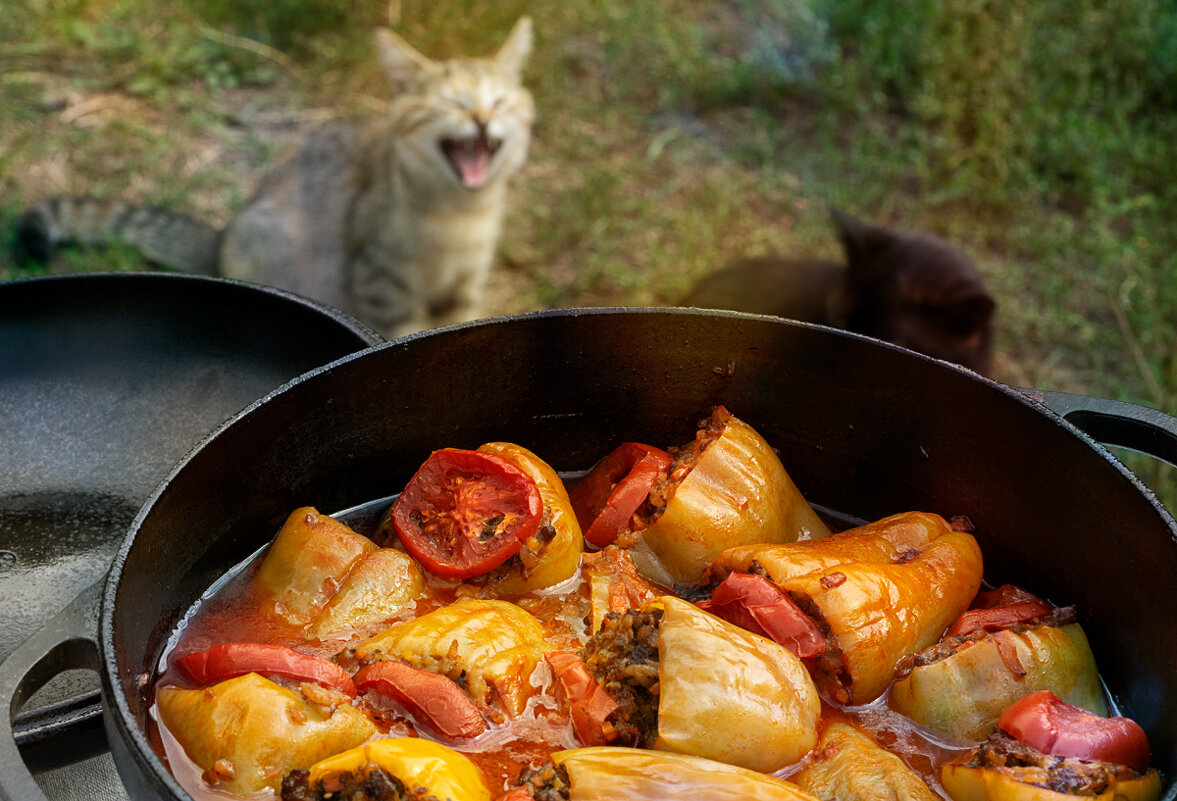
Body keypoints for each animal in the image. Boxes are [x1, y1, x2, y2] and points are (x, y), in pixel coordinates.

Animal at [14, 17, 534, 336]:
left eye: (500, 102)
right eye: (451, 103)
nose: (482, 119)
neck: (458, 215)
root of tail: (221, 239)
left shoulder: (465, 285)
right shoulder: (378, 278)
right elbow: (401, 330)